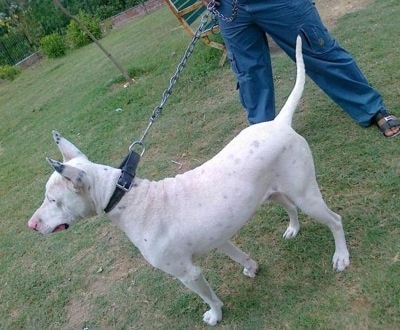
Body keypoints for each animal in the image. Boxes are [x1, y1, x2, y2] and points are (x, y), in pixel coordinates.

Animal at [28, 37, 348, 326]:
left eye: (53, 200)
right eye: (46, 197)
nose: (31, 225)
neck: (125, 196)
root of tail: (280, 122)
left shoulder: (187, 273)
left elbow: (209, 297)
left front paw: (215, 315)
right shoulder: (220, 237)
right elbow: (240, 256)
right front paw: (252, 268)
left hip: (307, 194)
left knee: (334, 220)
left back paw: (341, 257)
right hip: (273, 192)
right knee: (289, 206)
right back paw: (293, 229)